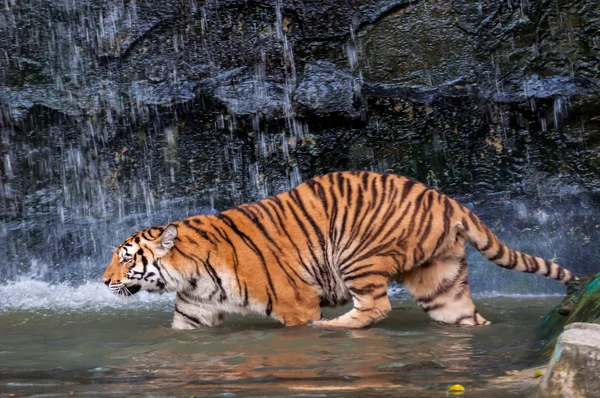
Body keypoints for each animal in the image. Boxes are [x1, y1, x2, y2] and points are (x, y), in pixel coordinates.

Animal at [102, 171, 576, 330]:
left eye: (125, 258)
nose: (104, 281)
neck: (191, 275)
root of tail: (445, 199)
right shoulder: (192, 313)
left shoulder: (295, 302)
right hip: (441, 280)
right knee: (465, 317)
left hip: (356, 254)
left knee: (376, 307)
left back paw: (334, 328)